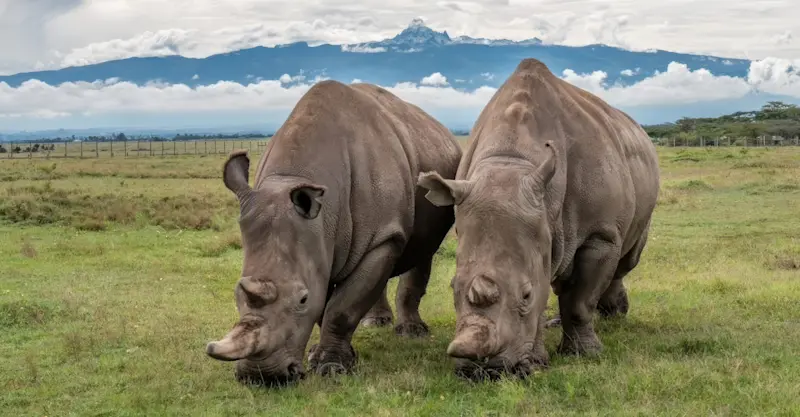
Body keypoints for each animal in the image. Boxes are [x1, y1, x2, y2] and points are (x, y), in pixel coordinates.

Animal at [205, 80, 462, 386]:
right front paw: (320, 356)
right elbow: (328, 302)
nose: (262, 376)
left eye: (302, 299)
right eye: (237, 293)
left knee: (423, 251)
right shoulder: (318, 242)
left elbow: (341, 307)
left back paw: (412, 333)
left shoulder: (382, 235)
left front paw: (331, 368)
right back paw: (375, 324)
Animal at [418, 58, 660, 380]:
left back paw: (613, 315)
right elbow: (550, 283)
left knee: (626, 260)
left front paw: (585, 354)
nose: (484, 371)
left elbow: (579, 301)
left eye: (526, 295)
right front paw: (537, 361)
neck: (512, 161)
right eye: (452, 288)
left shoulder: (600, 235)